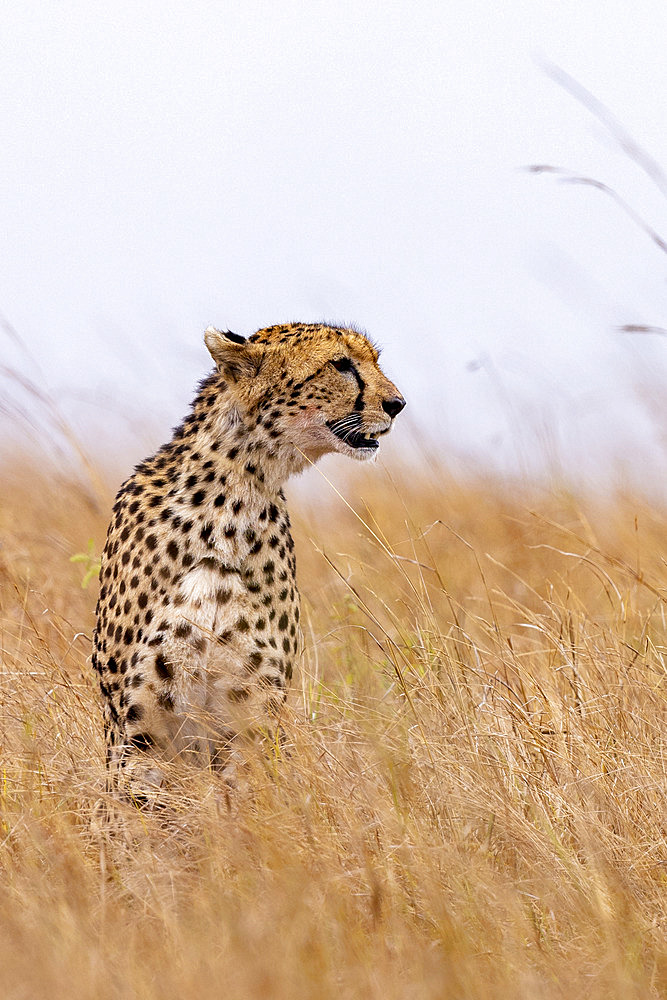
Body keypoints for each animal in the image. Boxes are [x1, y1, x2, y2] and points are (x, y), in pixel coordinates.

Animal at [92, 324, 408, 800]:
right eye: (341, 364)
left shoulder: (252, 720)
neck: (231, 503)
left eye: (374, 360)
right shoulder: (141, 728)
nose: (397, 404)